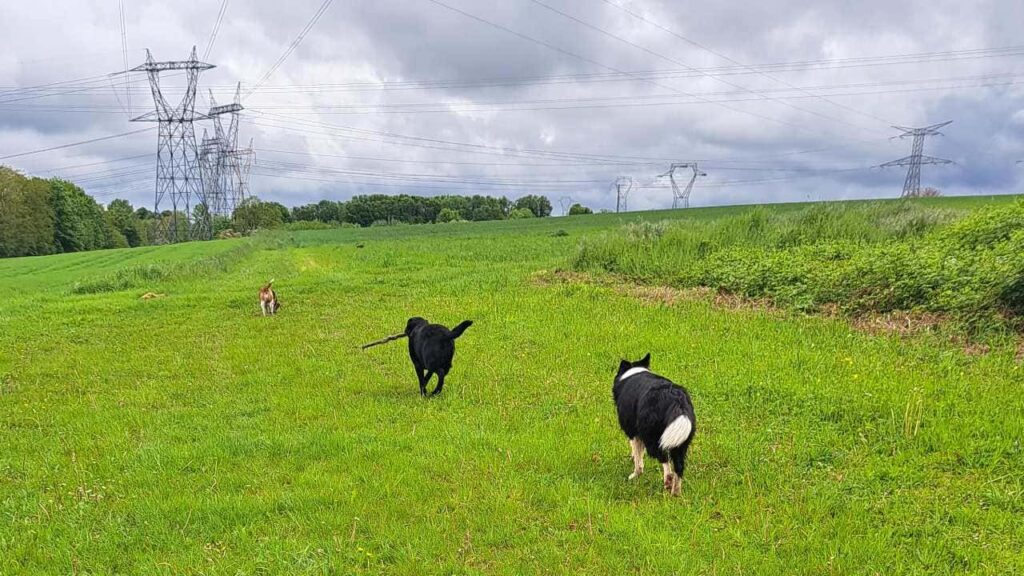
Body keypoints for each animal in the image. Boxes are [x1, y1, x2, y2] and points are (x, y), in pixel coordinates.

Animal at [614, 350, 696, 494]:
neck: (634, 371)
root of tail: (676, 399)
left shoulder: (633, 431)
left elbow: (637, 455)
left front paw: (635, 474)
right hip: (681, 441)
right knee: (679, 466)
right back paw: (676, 492)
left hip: (652, 436)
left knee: (664, 459)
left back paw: (668, 481)